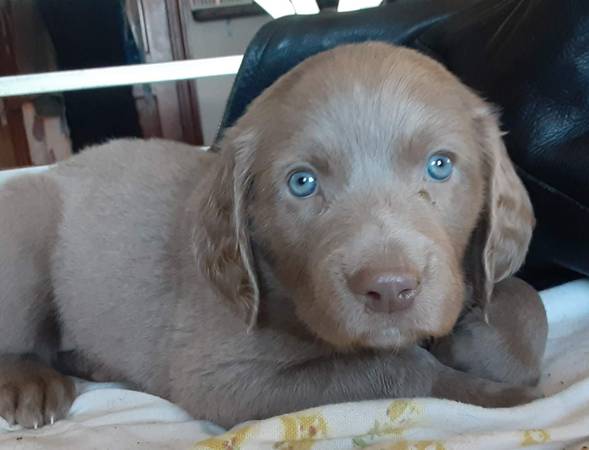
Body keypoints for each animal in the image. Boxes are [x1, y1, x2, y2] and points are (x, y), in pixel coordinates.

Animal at [0, 43, 548, 428]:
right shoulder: (225, 380)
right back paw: (31, 384)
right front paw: (493, 394)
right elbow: (392, 369)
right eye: (302, 182)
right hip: (26, 227)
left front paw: (479, 334)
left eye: (440, 166)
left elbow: (526, 303)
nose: (390, 289)